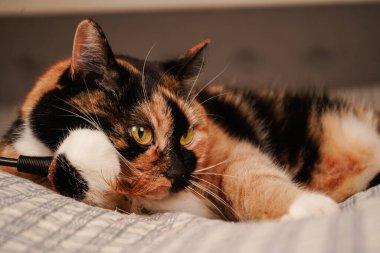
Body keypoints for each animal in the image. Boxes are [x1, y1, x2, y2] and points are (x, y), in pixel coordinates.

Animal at [0, 18, 380, 221]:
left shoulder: (232, 150)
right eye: (141, 133)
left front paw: (308, 207)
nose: (179, 172)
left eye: (186, 136)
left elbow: (251, 176)